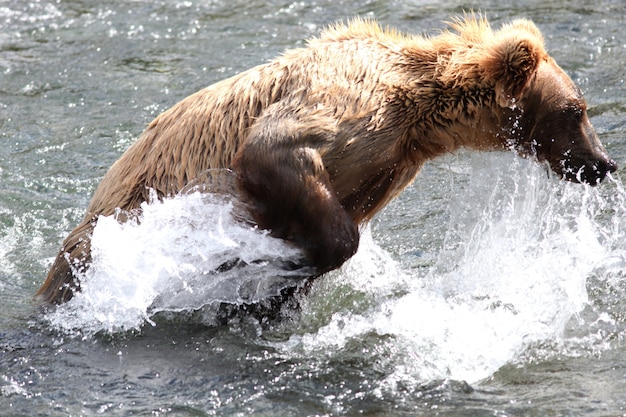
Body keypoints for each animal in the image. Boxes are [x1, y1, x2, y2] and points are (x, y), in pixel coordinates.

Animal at [37, 14, 616, 306]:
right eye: (577, 109)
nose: (604, 163)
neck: (420, 112)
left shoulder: (389, 166)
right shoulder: (350, 107)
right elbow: (276, 152)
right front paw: (276, 267)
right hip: (110, 225)